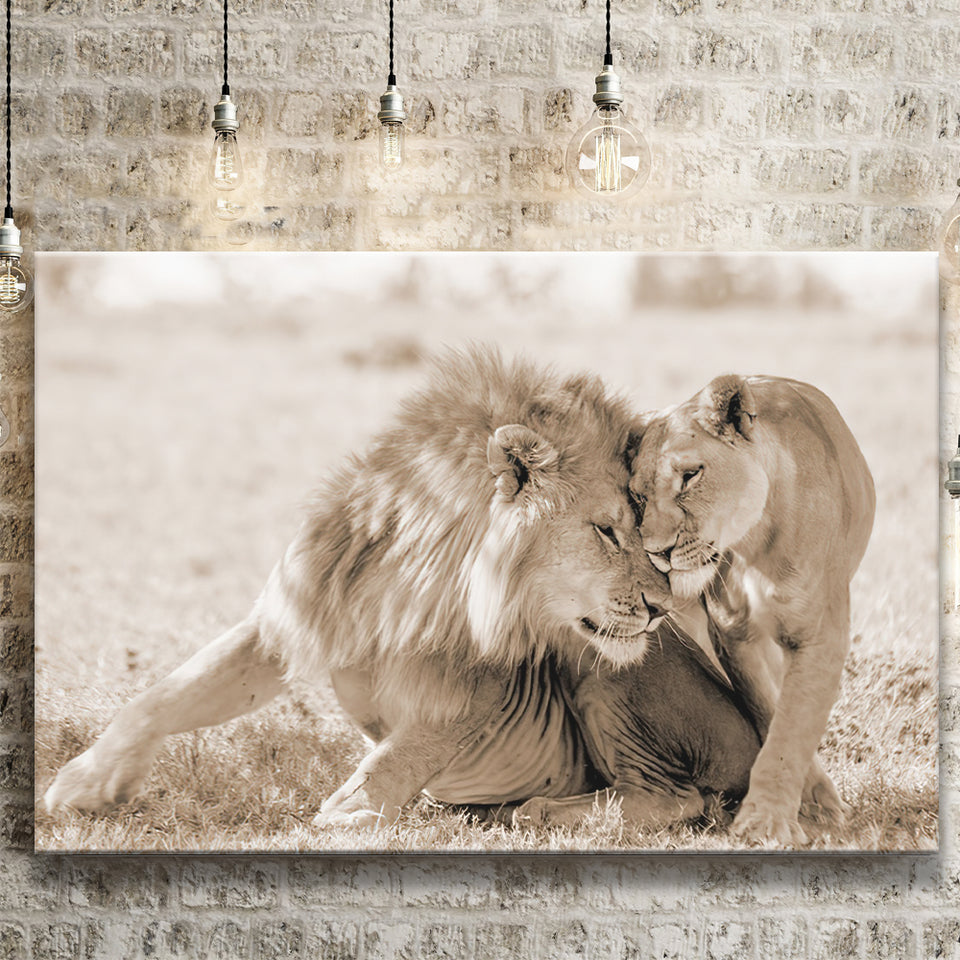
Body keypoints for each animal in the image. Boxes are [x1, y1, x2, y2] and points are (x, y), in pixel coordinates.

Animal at [44, 348, 759, 835]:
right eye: (609, 531)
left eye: (645, 528)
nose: (663, 608)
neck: (412, 580)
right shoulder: (292, 616)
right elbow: (167, 694)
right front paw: (85, 783)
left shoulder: (482, 686)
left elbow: (399, 754)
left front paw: (350, 811)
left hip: (602, 671)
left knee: (679, 796)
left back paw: (542, 808)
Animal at [628, 374, 876, 845]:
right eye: (637, 497)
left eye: (690, 476)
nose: (656, 552)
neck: (754, 542)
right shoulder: (733, 633)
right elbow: (770, 711)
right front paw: (800, 803)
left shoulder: (819, 633)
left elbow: (791, 727)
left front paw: (767, 820)